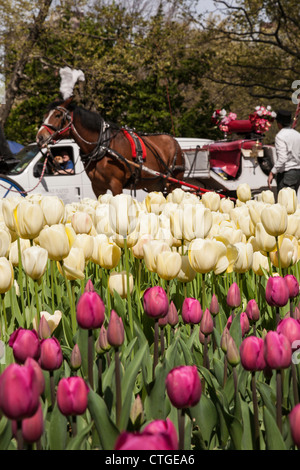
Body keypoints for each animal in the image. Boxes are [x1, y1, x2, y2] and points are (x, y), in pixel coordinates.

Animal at [35, 96, 185, 197]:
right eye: (45, 115)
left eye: (57, 115)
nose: (40, 137)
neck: (103, 147)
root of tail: (175, 141)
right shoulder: (97, 187)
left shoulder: (116, 185)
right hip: (156, 184)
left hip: (174, 183)